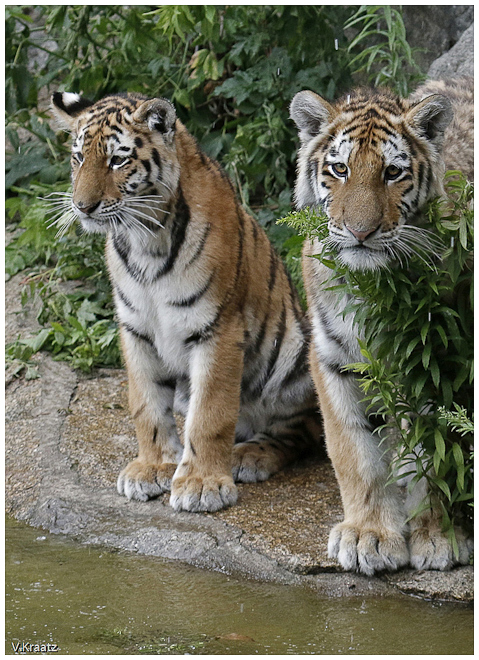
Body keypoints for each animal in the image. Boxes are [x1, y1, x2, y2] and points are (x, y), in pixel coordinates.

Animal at [51, 91, 322, 513]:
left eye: (117, 160)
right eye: (78, 157)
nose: (83, 206)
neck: (143, 239)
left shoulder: (217, 329)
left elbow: (210, 414)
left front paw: (201, 484)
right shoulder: (136, 329)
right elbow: (146, 404)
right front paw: (153, 467)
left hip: (298, 349)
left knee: (304, 426)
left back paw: (250, 455)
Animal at [289, 77, 473, 574]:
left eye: (392, 173)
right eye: (339, 169)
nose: (360, 232)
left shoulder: (439, 362)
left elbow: (436, 457)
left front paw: (439, 536)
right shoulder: (334, 360)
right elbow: (355, 453)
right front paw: (368, 535)